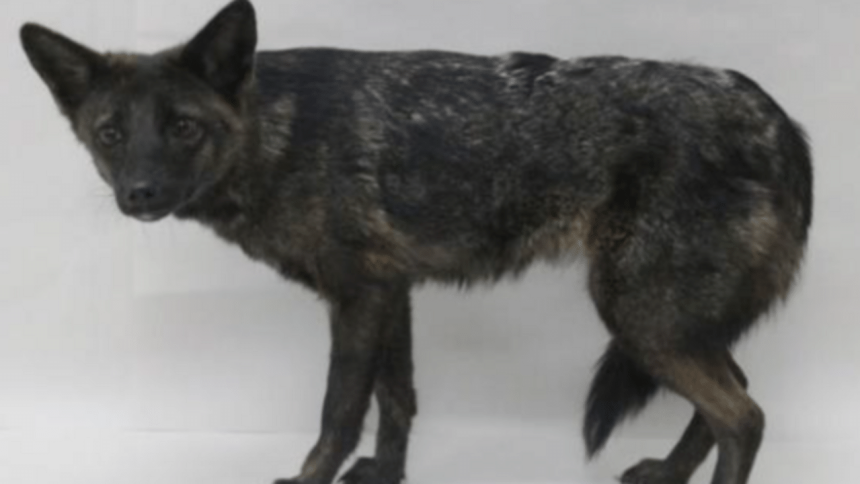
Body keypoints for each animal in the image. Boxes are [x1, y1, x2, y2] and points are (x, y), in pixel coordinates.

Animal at [19, 1, 812, 483]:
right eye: (110, 134)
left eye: (183, 127)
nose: (140, 194)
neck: (281, 133)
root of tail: (780, 118)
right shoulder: (388, 291)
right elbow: (396, 398)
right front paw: (385, 474)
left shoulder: (357, 296)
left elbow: (340, 409)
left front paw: (311, 477)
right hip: (666, 324)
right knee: (735, 394)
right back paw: (669, 473)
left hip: (641, 317)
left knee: (743, 415)